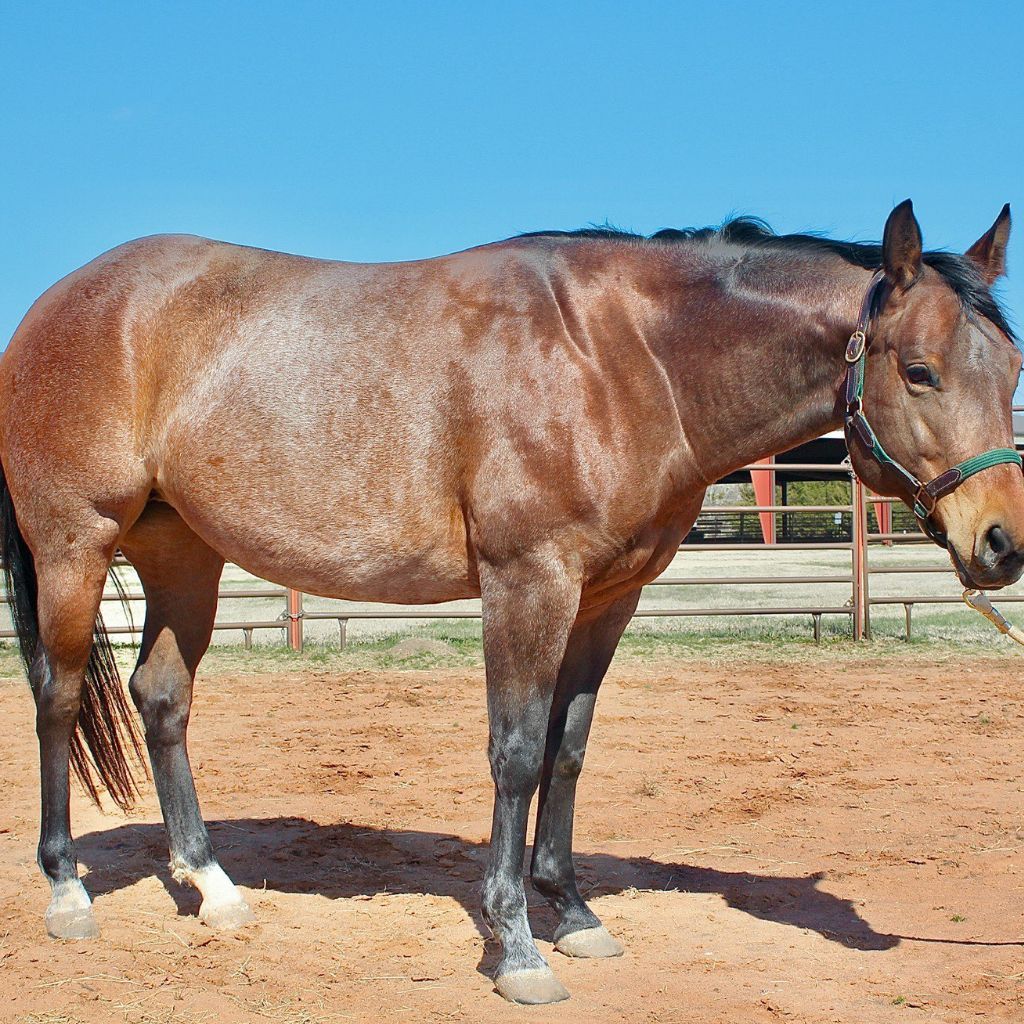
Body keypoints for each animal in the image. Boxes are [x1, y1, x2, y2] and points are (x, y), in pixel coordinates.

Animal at [1, 200, 1021, 1005]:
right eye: (920, 369)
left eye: (1010, 370)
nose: (1001, 545)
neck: (625, 359)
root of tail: (60, 302)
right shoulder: (528, 581)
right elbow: (518, 753)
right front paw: (516, 946)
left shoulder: (607, 597)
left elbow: (567, 751)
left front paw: (571, 912)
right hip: (76, 546)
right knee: (58, 699)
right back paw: (67, 892)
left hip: (184, 558)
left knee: (162, 699)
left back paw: (213, 889)